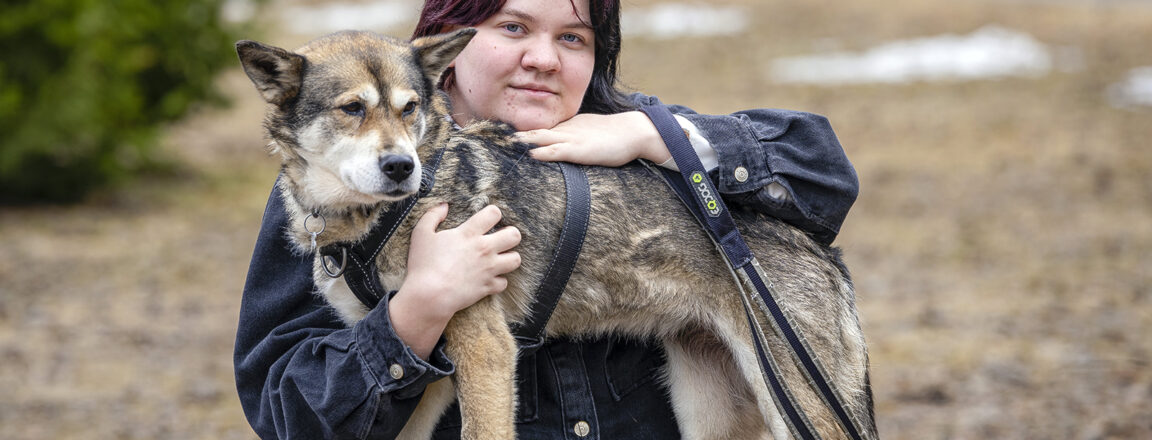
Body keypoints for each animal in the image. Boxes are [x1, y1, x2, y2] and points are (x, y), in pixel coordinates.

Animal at [238, 29, 875, 437]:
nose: (401, 167)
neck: (377, 220)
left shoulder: (486, 351)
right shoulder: (421, 366)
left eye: (409, 107)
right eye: (352, 109)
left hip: (796, 404)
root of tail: (827, 253)